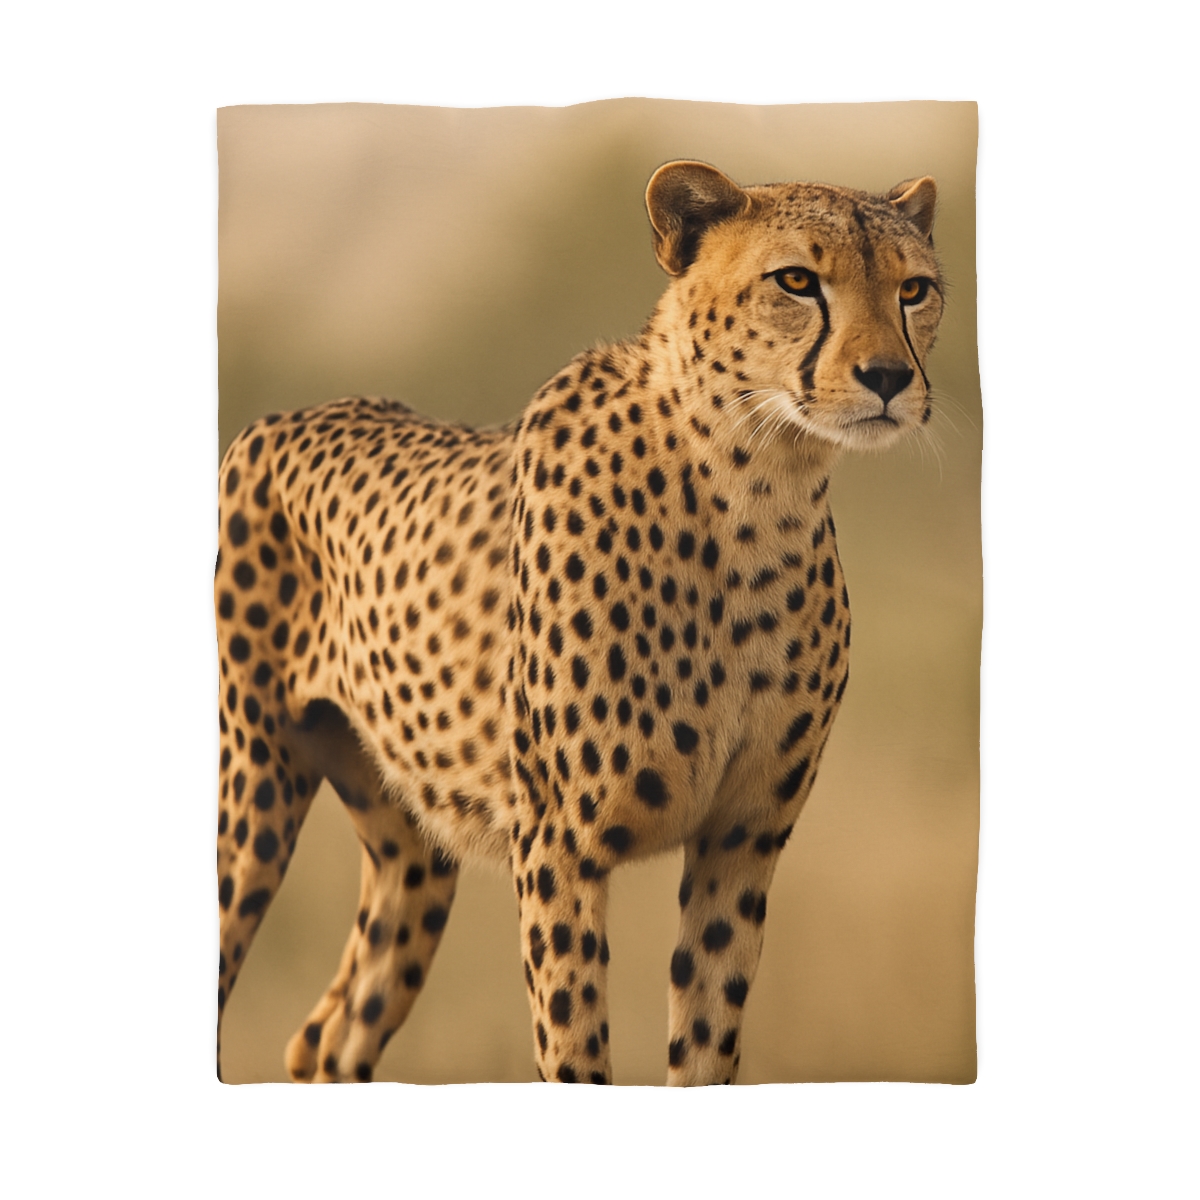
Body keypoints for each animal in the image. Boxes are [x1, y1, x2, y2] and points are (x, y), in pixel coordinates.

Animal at [215, 159, 944, 1085]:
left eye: (914, 289)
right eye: (796, 282)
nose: (888, 377)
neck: (756, 488)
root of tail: (287, 415)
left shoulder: (742, 841)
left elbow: (705, 1044)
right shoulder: (559, 846)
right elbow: (573, 1048)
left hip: (411, 851)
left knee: (327, 1035)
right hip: (255, 788)